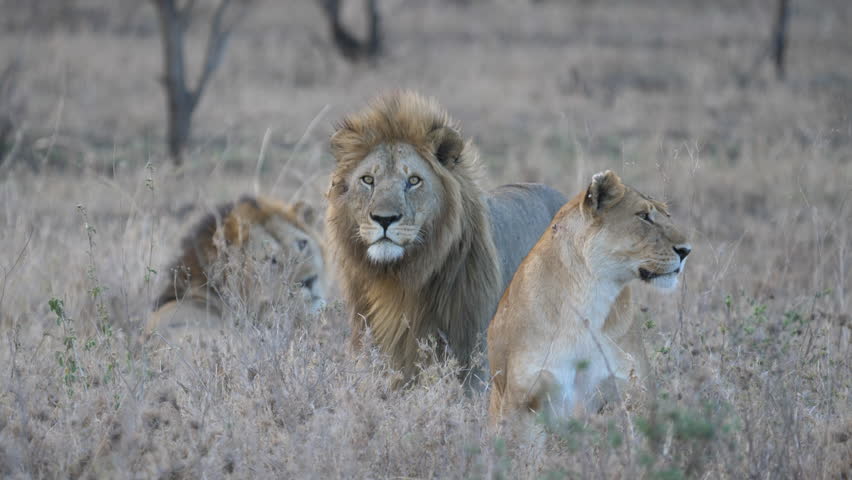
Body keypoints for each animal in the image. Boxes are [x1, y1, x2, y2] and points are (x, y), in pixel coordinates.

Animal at [487, 170, 692, 426]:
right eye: (644, 216)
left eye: (668, 215)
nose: (686, 250)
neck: (591, 295)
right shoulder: (521, 401)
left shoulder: (633, 391)